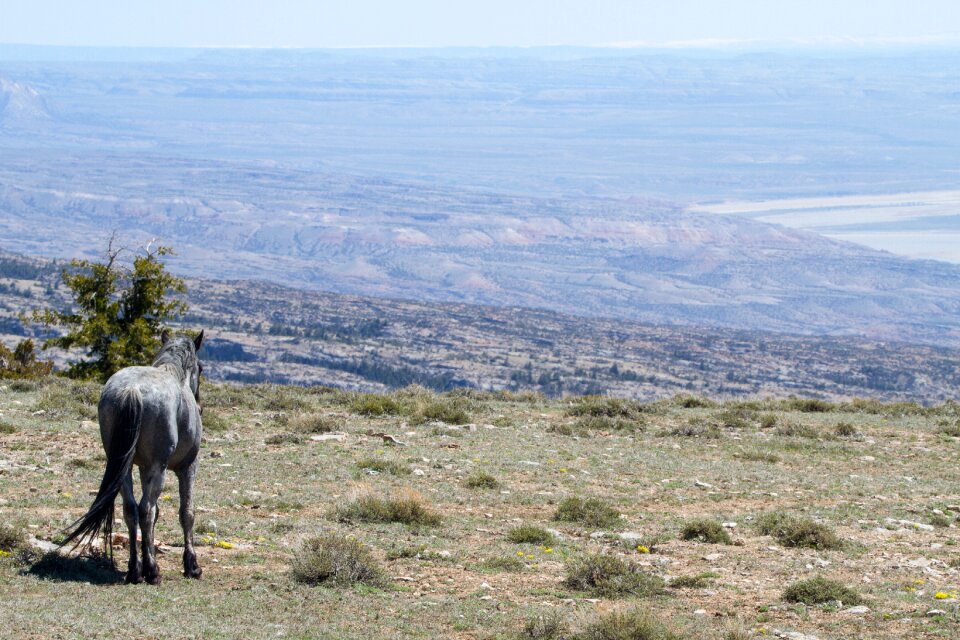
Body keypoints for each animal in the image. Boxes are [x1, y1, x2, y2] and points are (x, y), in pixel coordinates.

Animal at [64, 330, 207, 584]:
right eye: (200, 368)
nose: (200, 406)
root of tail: (132, 390)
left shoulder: (141, 468)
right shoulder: (187, 467)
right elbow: (186, 513)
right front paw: (192, 566)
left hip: (124, 468)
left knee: (131, 509)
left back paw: (135, 570)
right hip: (157, 469)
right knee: (145, 510)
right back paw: (152, 571)